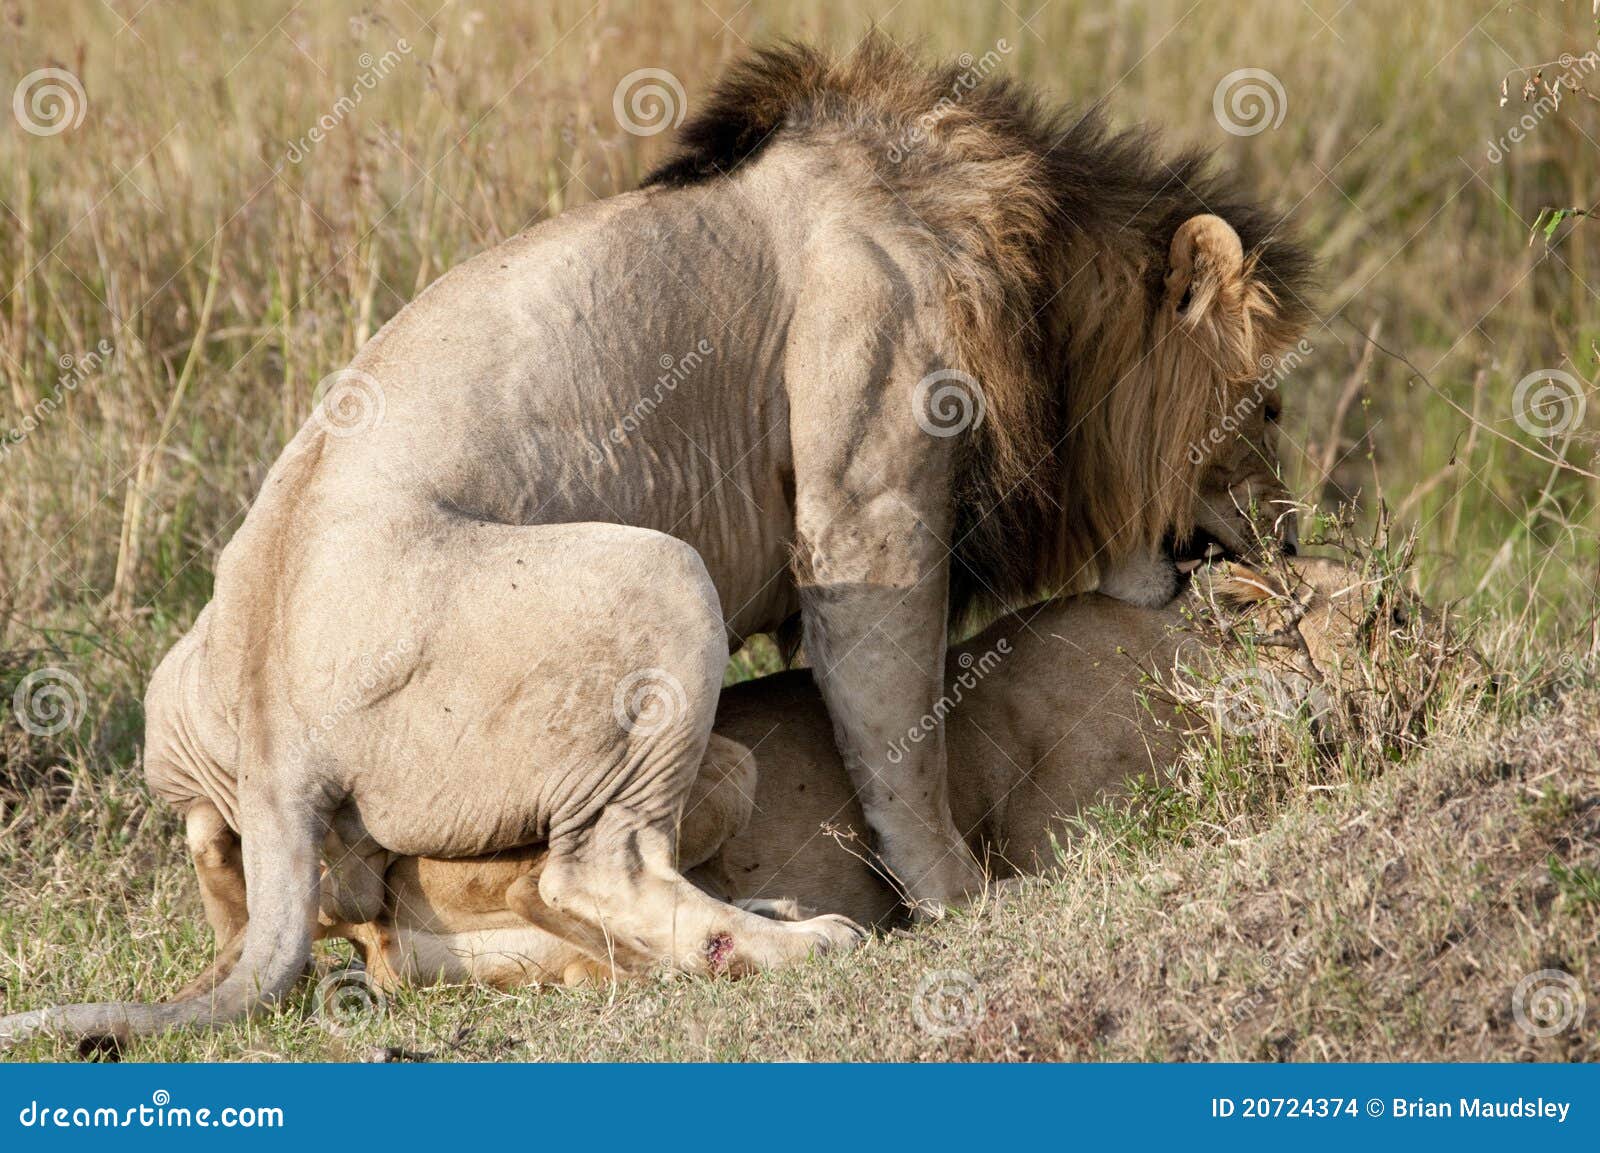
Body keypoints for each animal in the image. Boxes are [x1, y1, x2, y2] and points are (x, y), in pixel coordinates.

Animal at [0, 38, 1299, 1042]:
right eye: (1273, 408)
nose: (1289, 537)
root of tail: (278, 746)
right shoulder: (867, 504)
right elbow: (901, 742)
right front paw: (965, 900)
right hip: (657, 573)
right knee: (595, 867)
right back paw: (798, 942)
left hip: (184, 705)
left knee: (234, 872)